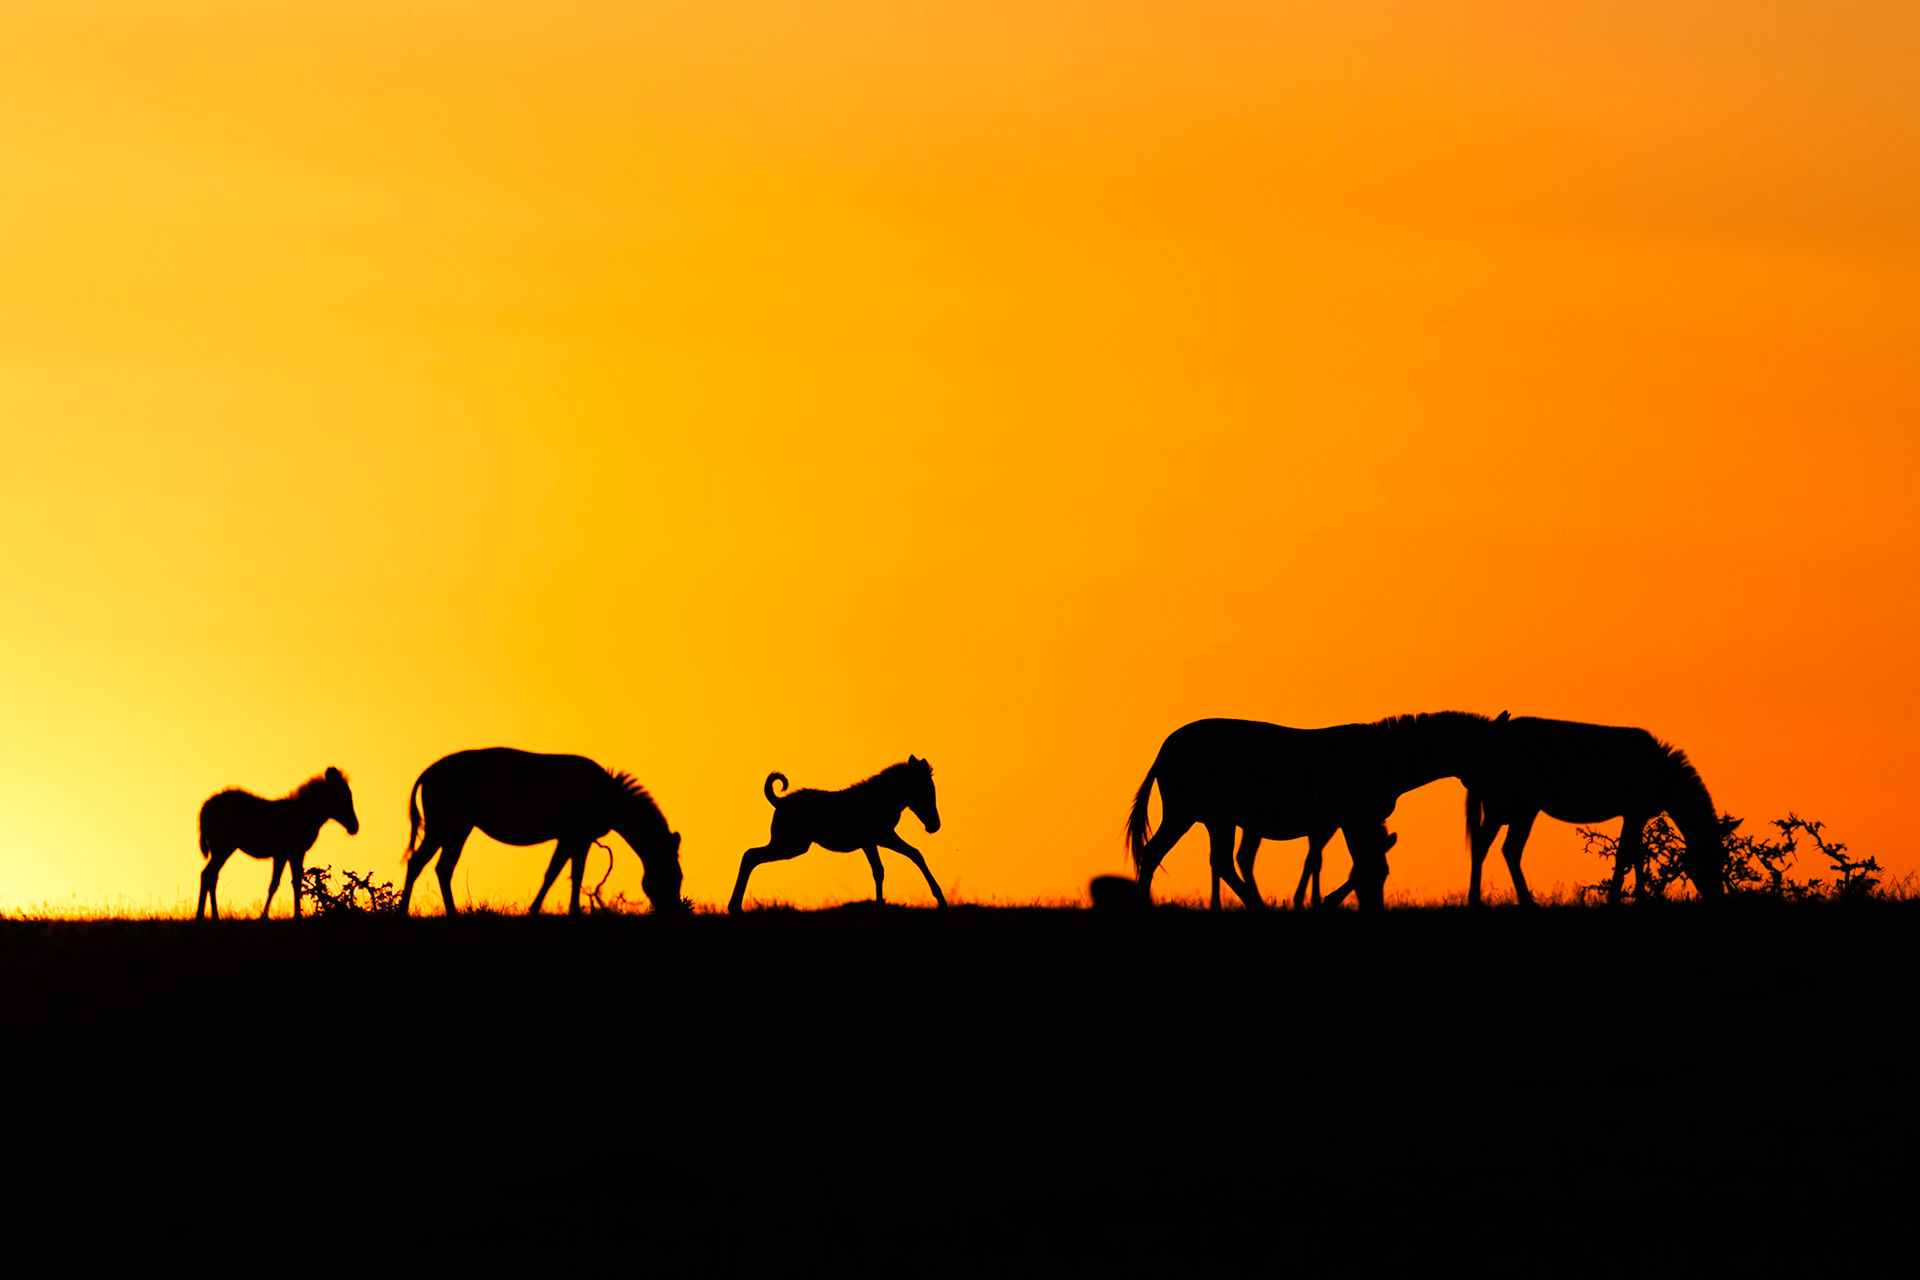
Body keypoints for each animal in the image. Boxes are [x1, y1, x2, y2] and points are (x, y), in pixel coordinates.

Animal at [197, 767, 359, 919]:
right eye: (343, 797)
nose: (354, 827)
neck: (310, 818)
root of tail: (204, 809)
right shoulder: (288, 852)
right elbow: (278, 884)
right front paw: (267, 916)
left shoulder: (291, 853)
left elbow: (291, 883)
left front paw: (294, 915)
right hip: (223, 846)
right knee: (207, 874)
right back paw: (204, 916)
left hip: (221, 847)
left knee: (211, 875)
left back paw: (211, 916)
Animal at [400, 748, 686, 916]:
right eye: (674, 877)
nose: (675, 914)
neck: (608, 800)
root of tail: (428, 771)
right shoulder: (576, 834)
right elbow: (563, 874)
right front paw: (556, 912)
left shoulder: (575, 837)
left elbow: (565, 873)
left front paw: (555, 911)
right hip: (449, 821)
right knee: (427, 864)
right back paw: (419, 913)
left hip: (453, 826)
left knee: (433, 866)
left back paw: (437, 913)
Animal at [728, 756, 943, 913]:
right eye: (925, 790)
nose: (935, 826)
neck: (881, 799)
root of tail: (780, 801)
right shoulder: (880, 837)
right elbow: (897, 862)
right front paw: (940, 900)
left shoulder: (874, 840)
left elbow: (894, 863)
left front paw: (881, 904)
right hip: (791, 844)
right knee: (750, 855)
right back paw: (734, 907)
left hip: (789, 844)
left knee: (750, 855)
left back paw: (735, 906)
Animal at [1126, 713, 1507, 911]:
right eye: (1496, 757)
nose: (1499, 801)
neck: (1387, 761)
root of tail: (1166, 746)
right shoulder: (1355, 812)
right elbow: (1357, 863)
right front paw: (1324, 903)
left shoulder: (1352, 818)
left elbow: (1354, 862)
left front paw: (1324, 902)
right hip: (1194, 812)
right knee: (1176, 854)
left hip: (1207, 816)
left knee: (1188, 855)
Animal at [1461, 716, 1724, 905]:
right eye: (1708, 862)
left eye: (1722, 862)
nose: (1718, 900)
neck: (1661, 777)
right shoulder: (1634, 811)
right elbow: (1626, 855)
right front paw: (1617, 899)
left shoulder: (1636, 814)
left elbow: (1637, 855)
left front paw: (1638, 898)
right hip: (1511, 805)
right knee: (1495, 846)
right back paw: (1491, 900)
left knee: (1489, 846)